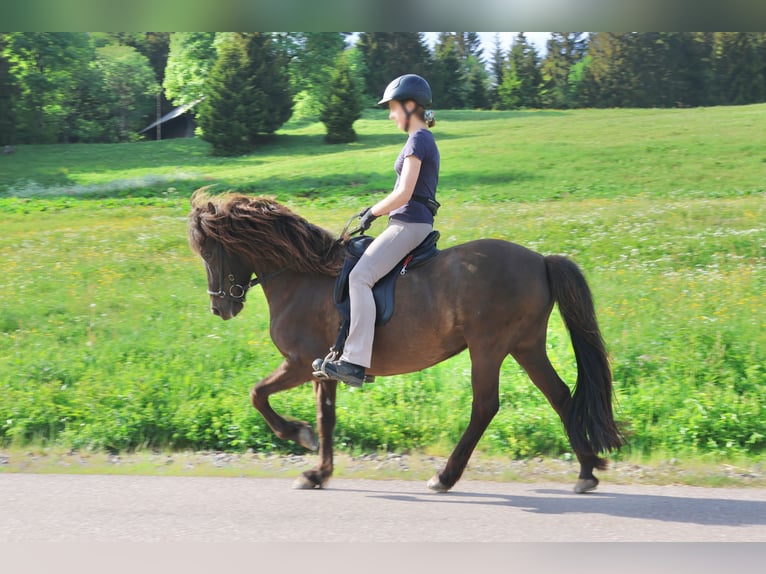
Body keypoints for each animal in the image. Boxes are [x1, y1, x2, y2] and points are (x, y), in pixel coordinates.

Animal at [188, 190, 623, 493]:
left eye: (208, 250)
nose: (219, 308)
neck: (302, 275)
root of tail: (540, 260)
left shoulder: (298, 361)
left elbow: (258, 394)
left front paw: (298, 436)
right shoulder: (320, 369)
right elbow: (326, 418)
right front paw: (318, 472)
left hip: (489, 348)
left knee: (485, 406)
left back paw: (445, 476)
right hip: (526, 345)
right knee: (560, 395)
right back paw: (587, 470)